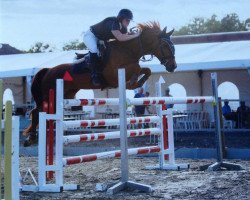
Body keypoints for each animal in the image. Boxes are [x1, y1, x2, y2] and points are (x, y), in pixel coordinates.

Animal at [22, 21, 177, 146]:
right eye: (165, 45)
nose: (173, 66)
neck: (128, 50)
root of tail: (48, 70)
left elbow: (146, 70)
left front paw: (138, 82)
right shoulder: (115, 74)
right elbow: (136, 68)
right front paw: (133, 82)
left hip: (64, 96)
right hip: (50, 96)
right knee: (36, 112)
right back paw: (31, 138)